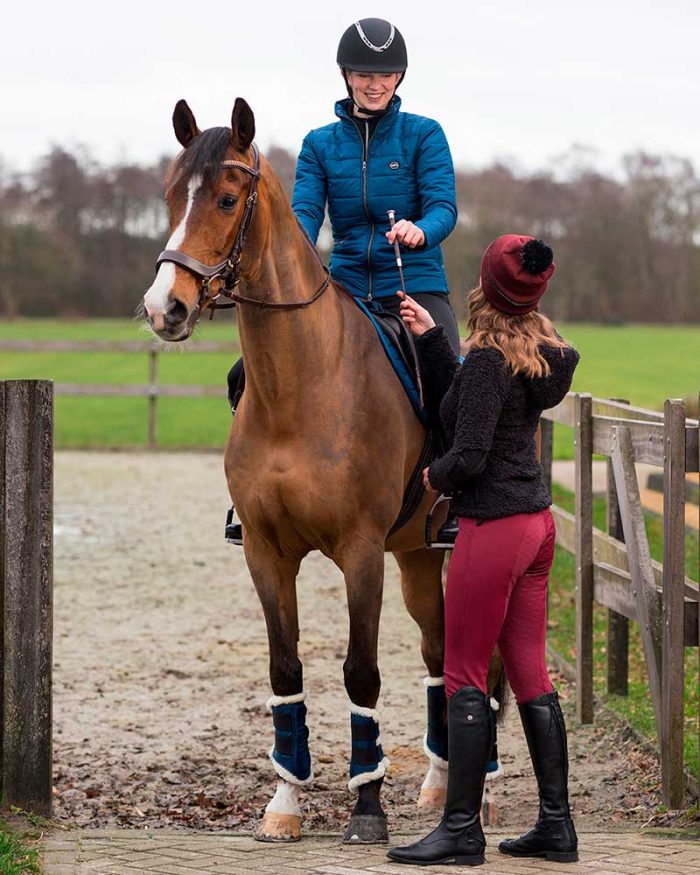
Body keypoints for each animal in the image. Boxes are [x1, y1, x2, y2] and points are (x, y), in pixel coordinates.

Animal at [144, 99, 504, 844]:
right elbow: (286, 669)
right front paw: (284, 802)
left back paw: (479, 791)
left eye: (226, 199)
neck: (302, 386)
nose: (165, 308)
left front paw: (366, 807)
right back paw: (437, 783)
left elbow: (361, 673)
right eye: (169, 196)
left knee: (470, 657)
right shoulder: (266, 552)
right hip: (416, 555)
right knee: (437, 653)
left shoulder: (360, 553)